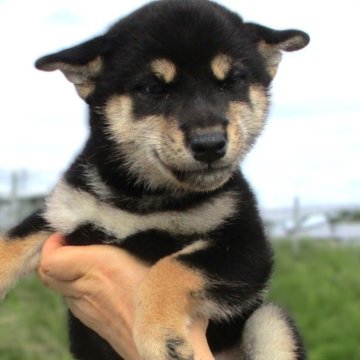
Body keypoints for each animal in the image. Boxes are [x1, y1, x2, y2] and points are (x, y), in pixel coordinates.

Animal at [0, 1, 310, 358]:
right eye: (154, 88)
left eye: (231, 81)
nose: (209, 143)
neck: (141, 197)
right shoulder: (63, 210)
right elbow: (10, 242)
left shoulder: (244, 244)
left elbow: (173, 267)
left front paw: (159, 335)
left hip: (271, 321)